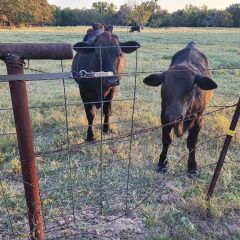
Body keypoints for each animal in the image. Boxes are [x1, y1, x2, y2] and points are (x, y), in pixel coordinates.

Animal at [143, 41, 218, 174]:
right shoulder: (164, 117)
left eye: (191, 88)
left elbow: (192, 143)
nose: (174, 117)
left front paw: (192, 167)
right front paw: (162, 163)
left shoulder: (198, 119)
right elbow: (167, 140)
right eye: (165, 87)